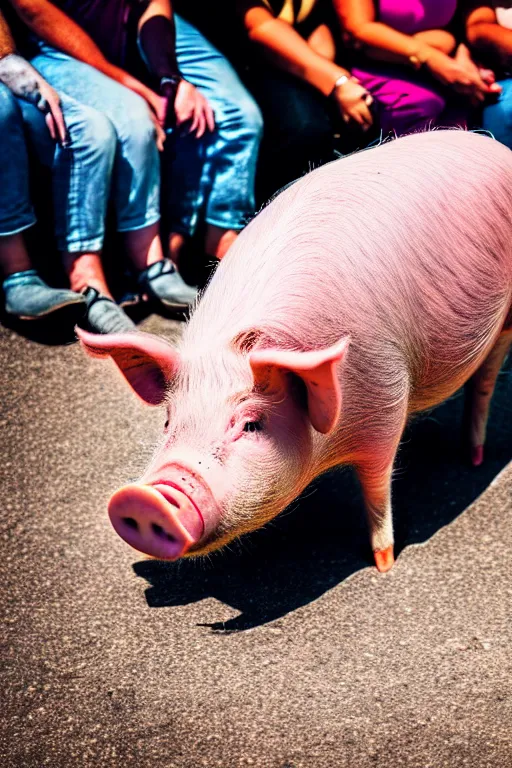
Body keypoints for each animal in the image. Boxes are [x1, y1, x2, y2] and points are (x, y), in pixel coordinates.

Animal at [77, 130, 512, 568]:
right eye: (168, 420)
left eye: (251, 424)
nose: (144, 498)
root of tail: (492, 145)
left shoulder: (387, 398)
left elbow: (377, 484)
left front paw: (384, 562)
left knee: (486, 380)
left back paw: (473, 457)